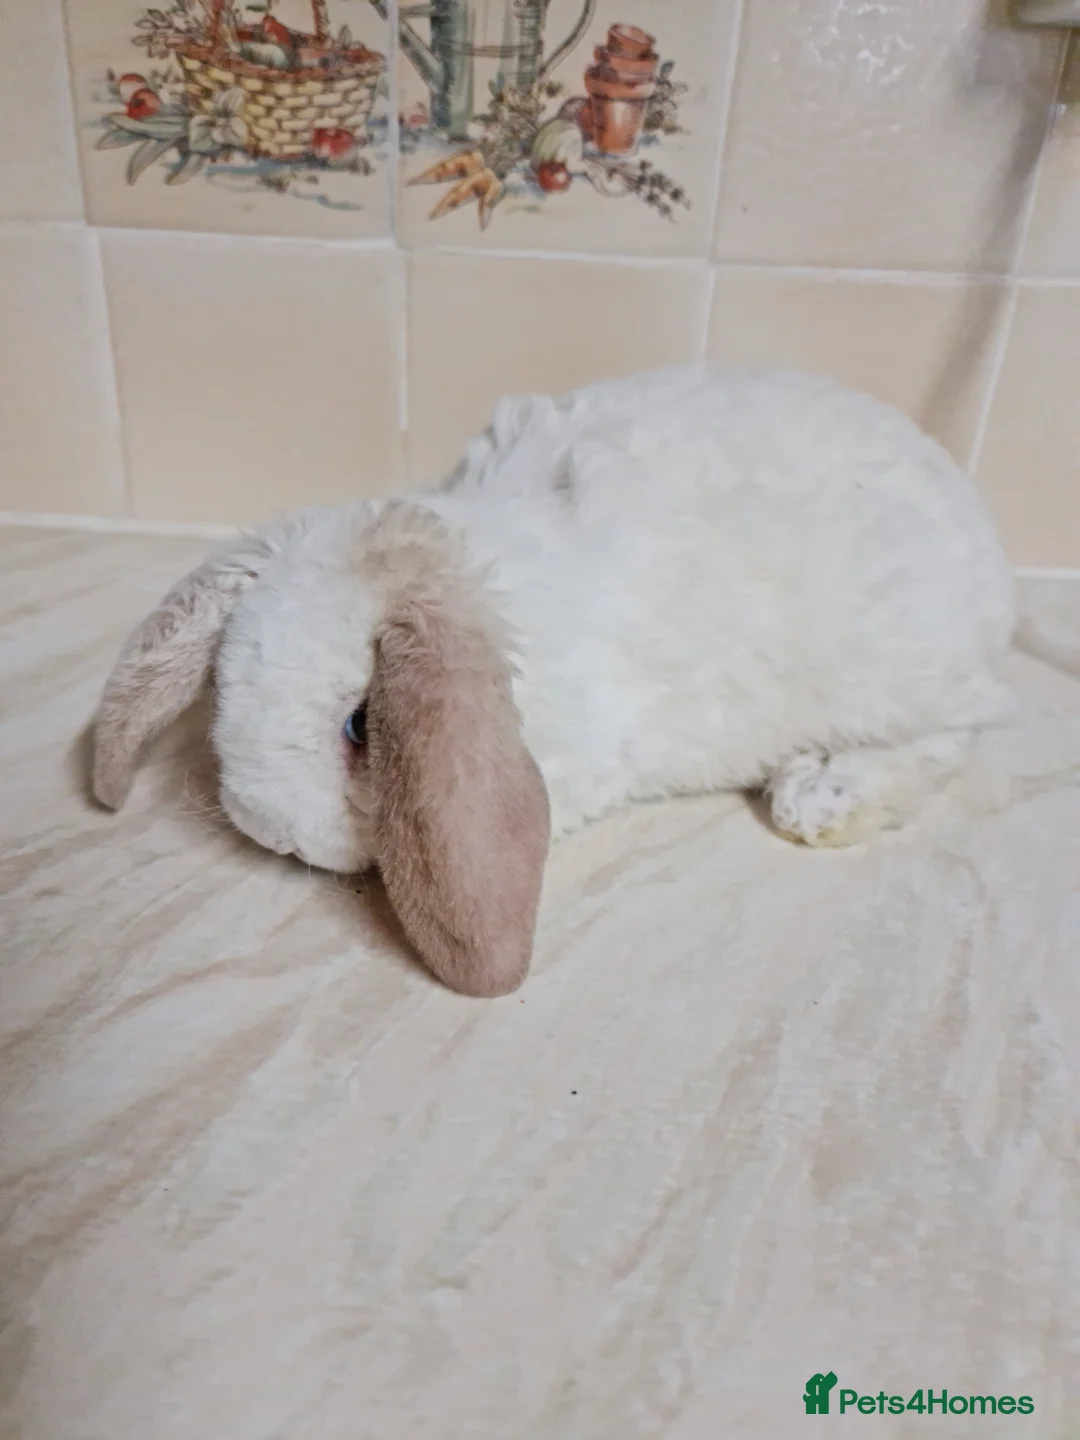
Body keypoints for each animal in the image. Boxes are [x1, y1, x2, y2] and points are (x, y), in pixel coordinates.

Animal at [92, 366, 1017, 997]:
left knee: (957, 737)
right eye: (223, 683)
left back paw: (819, 797)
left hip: (901, 677)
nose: (271, 832)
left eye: (361, 726)